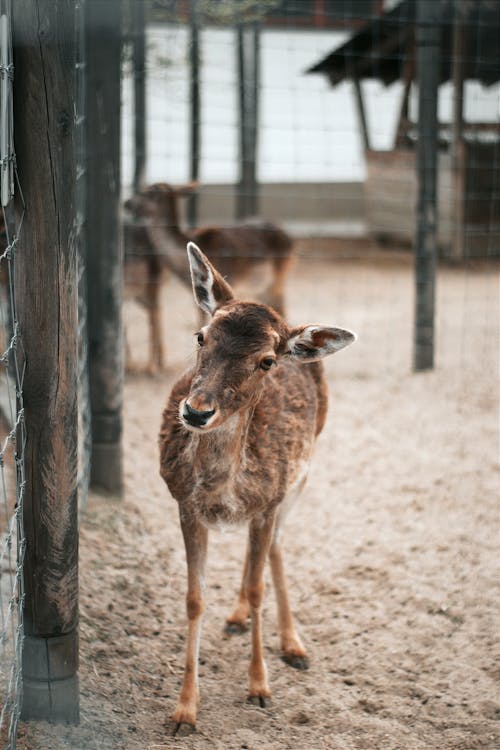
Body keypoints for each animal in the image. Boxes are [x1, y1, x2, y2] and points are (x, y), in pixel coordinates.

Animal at [159, 244, 356, 736]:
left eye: (266, 361)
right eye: (201, 336)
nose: (196, 411)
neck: (222, 490)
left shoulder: (268, 502)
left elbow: (258, 588)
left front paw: (260, 687)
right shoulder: (185, 505)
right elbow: (195, 599)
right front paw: (184, 711)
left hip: (300, 478)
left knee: (275, 550)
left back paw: (293, 644)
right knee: (258, 559)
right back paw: (236, 619)